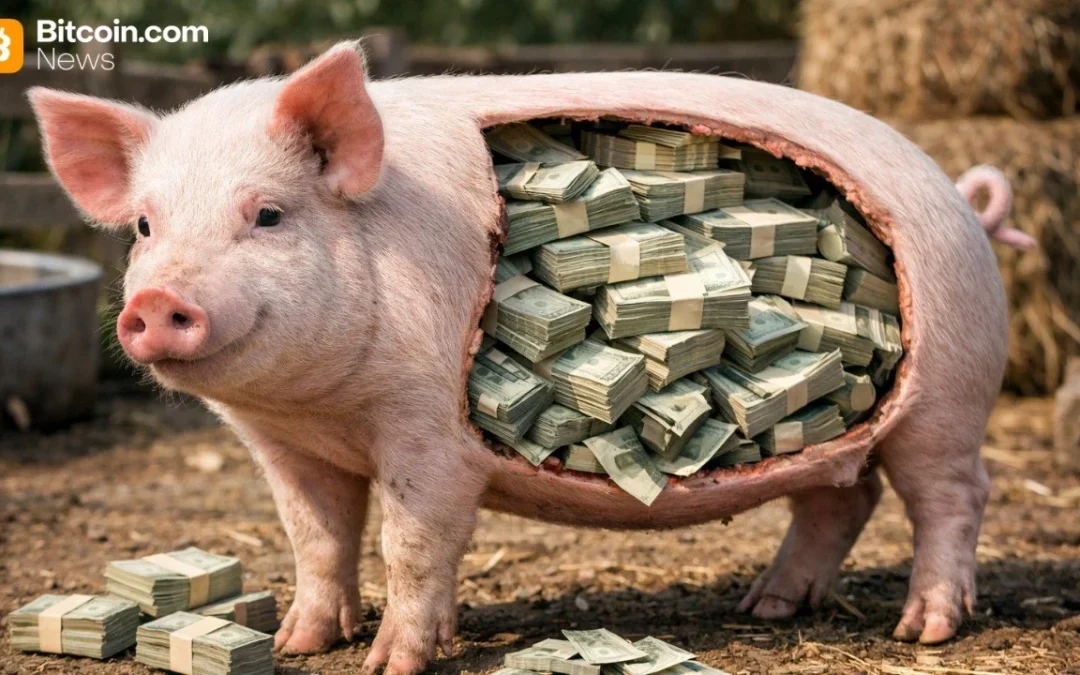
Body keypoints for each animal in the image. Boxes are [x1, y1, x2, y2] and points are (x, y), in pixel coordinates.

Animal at [30, 42, 1030, 674]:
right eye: (145, 226)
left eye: (268, 213)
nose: (155, 302)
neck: (326, 410)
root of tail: (958, 196)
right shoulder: (285, 447)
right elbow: (317, 539)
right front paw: (297, 646)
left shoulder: (428, 432)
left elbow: (410, 541)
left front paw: (390, 663)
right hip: (871, 432)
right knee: (840, 496)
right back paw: (768, 608)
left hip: (948, 395)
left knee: (953, 496)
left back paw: (923, 632)